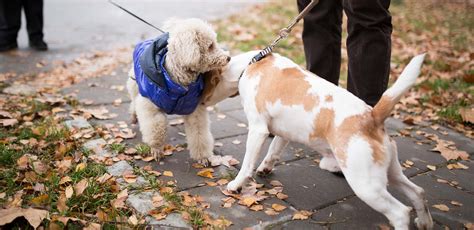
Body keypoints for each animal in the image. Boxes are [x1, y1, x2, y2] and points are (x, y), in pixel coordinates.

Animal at [203, 51, 434, 229]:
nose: (201, 101)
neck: (251, 64)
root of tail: (371, 116)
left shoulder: (258, 130)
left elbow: (247, 165)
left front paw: (236, 185)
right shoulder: (282, 133)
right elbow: (273, 152)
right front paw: (265, 168)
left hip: (366, 185)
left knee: (400, 212)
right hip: (390, 174)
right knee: (418, 192)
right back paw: (425, 223)